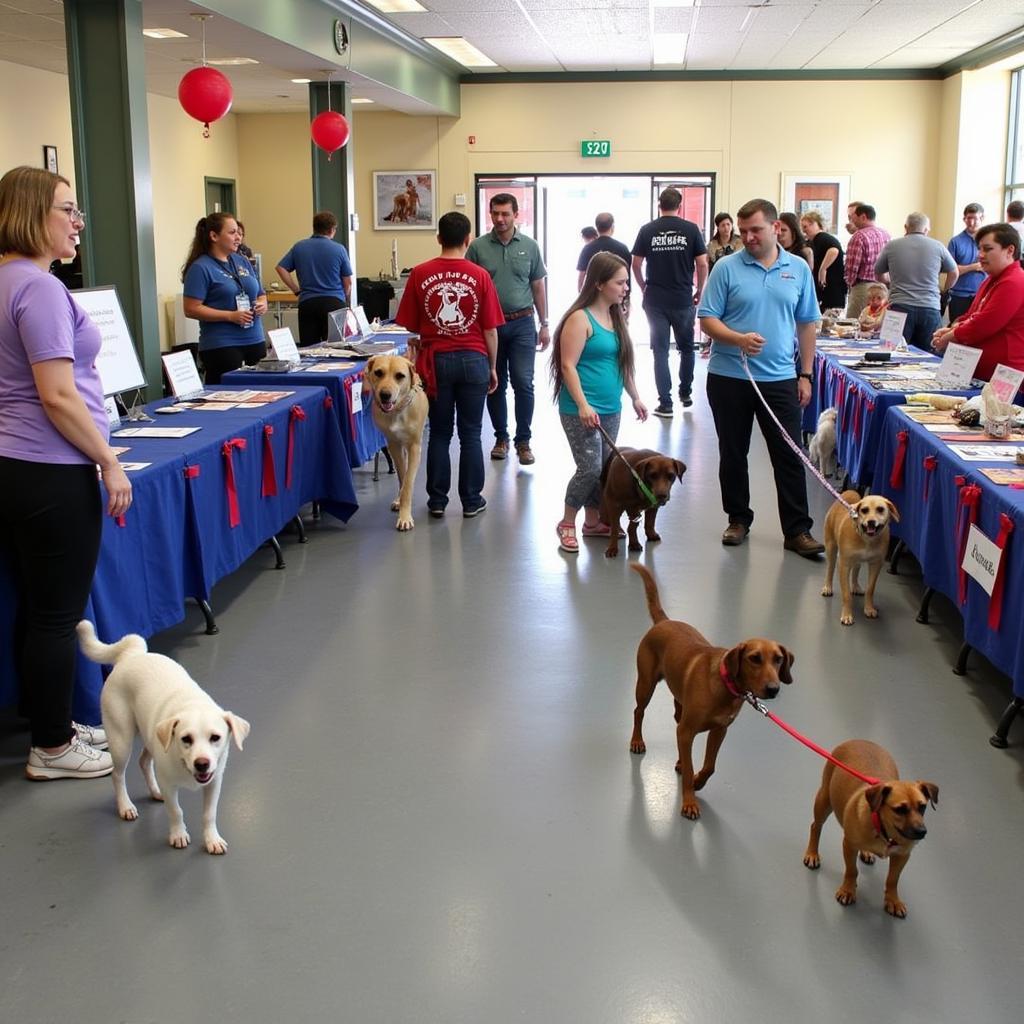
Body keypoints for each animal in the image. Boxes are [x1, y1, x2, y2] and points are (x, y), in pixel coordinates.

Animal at [77, 618, 249, 851]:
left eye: (215, 737)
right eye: (186, 739)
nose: (202, 764)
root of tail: (131, 655)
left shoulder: (214, 783)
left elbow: (209, 814)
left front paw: (212, 839)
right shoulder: (169, 783)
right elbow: (176, 810)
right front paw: (178, 834)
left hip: (152, 735)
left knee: (143, 761)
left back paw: (154, 791)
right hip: (121, 739)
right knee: (117, 775)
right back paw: (125, 806)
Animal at [626, 565, 794, 819]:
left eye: (778, 659)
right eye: (754, 658)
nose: (773, 689)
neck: (726, 687)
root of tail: (664, 621)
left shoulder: (719, 731)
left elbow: (710, 766)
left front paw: (698, 782)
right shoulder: (688, 731)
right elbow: (690, 767)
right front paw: (689, 802)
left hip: (679, 702)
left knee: (676, 722)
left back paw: (679, 760)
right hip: (645, 685)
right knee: (638, 712)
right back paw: (637, 741)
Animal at [802, 741, 937, 917]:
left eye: (923, 807)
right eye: (900, 809)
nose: (922, 832)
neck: (884, 831)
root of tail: (857, 740)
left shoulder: (902, 856)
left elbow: (892, 880)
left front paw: (893, 900)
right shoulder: (849, 845)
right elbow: (852, 870)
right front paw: (848, 890)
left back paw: (866, 852)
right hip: (824, 800)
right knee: (816, 827)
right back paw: (812, 854)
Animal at [819, 489, 901, 622]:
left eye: (880, 509)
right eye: (864, 510)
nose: (871, 522)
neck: (867, 540)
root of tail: (848, 493)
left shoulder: (876, 565)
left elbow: (870, 589)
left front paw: (869, 608)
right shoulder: (844, 565)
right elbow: (846, 594)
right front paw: (847, 614)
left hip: (857, 560)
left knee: (856, 571)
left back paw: (855, 586)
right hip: (831, 548)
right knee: (830, 569)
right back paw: (828, 587)